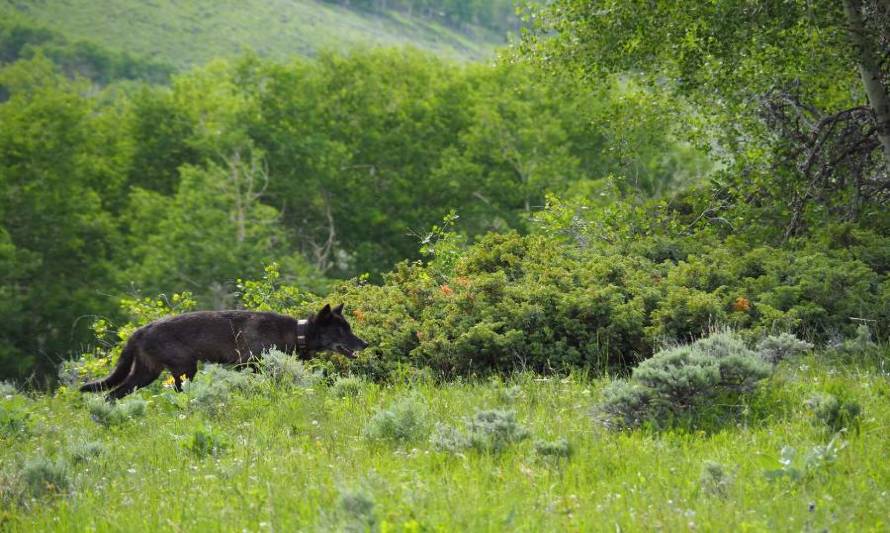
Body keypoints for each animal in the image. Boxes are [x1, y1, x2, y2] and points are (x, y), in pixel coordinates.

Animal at [79, 304, 364, 400]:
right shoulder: (246, 366)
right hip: (185, 370)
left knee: (112, 395)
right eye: (341, 331)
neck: (297, 332)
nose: (366, 344)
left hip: (145, 374)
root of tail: (139, 331)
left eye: (349, 328)